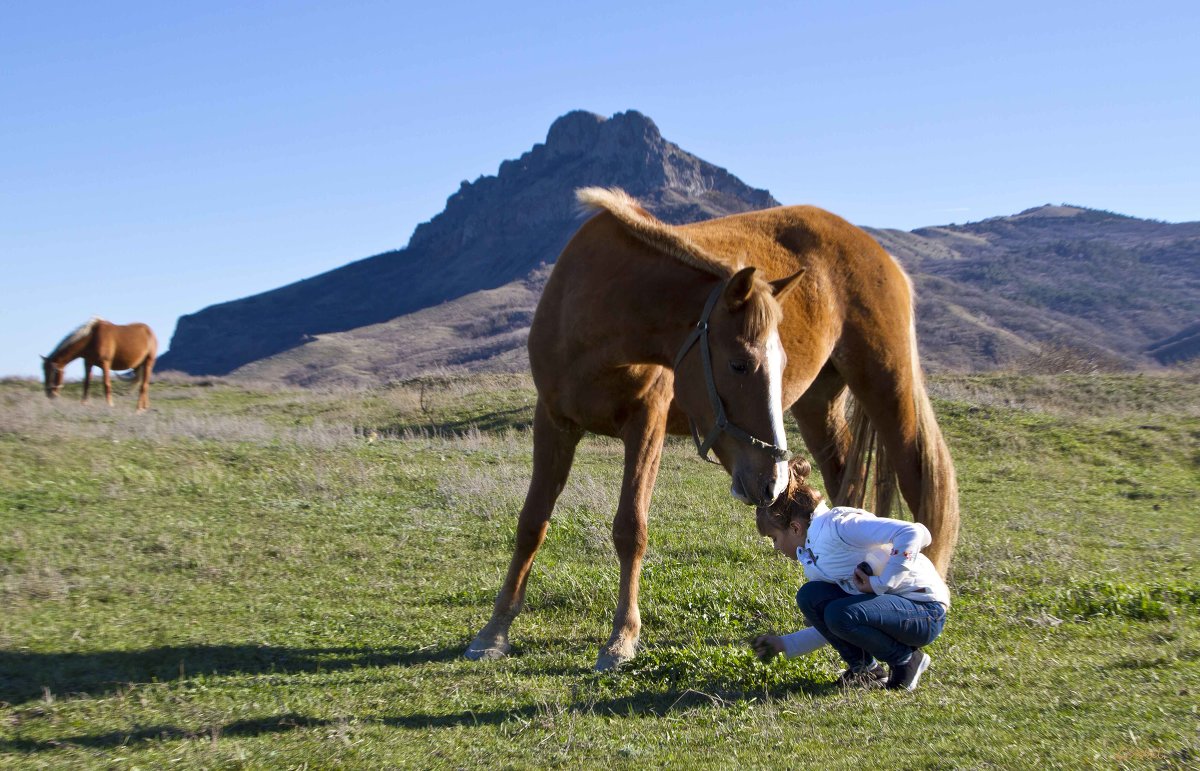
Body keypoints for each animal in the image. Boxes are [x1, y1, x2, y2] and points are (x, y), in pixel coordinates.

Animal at [465, 186, 955, 667]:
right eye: (739, 364)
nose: (772, 483)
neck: (588, 315)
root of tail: (880, 253)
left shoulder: (646, 426)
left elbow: (630, 528)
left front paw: (622, 638)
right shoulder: (553, 422)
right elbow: (532, 522)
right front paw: (494, 631)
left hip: (887, 389)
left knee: (920, 484)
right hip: (820, 404)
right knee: (845, 485)